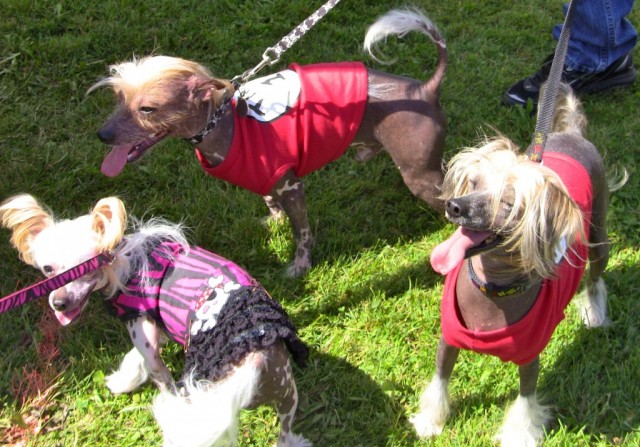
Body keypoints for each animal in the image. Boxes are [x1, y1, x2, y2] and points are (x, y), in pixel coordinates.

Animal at [0, 194, 310, 446]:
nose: (58, 302)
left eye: (84, 269)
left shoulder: (143, 332)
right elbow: (134, 356)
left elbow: (154, 370)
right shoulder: (157, 325)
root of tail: (254, 356)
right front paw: (123, 379)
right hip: (287, 393)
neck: (124, 262)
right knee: (285, 431)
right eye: (48, 270)